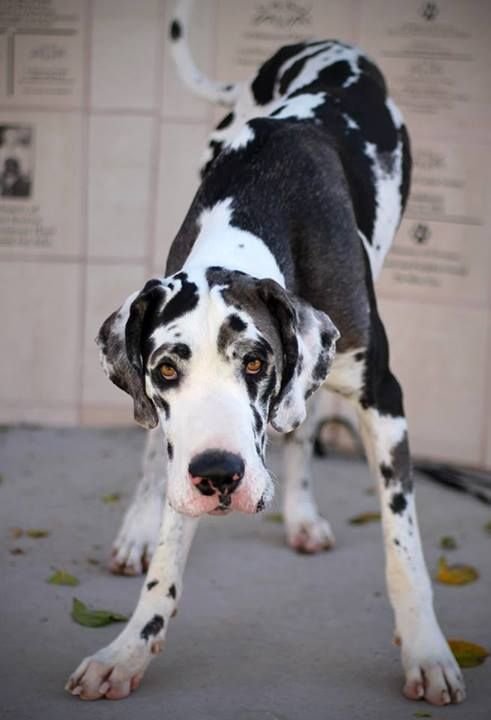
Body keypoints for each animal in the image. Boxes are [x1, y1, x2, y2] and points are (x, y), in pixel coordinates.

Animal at [65, 0, 466, 704]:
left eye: (255, 362)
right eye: (166, 369)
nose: (217, 476)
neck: (260, 206)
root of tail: (317, 42)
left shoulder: (382, 399)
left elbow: (404, 550)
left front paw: (426, 652)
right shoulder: (177, 429)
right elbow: (166, 550)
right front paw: (128, 650)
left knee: (301, 422)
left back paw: (302, 515)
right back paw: (139, 529)